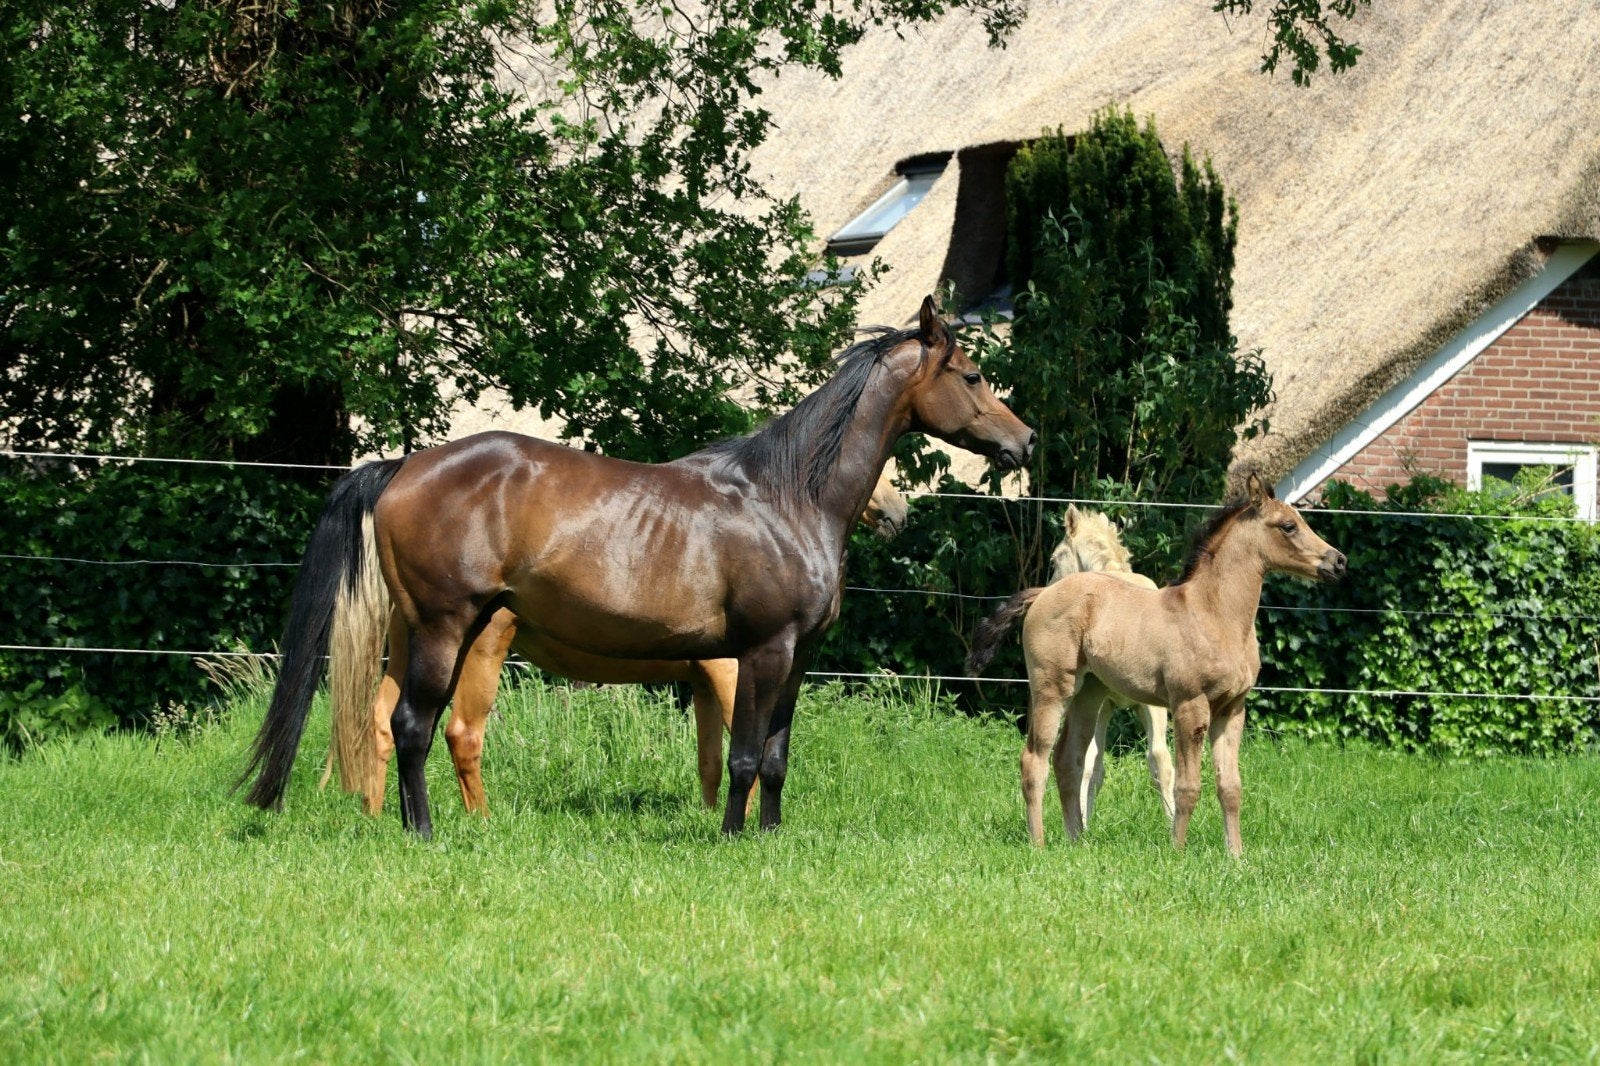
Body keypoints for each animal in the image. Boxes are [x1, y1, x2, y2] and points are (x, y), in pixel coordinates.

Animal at [318, 472, 911, 816]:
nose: (899, 512)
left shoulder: (701, 681)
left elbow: (709, 761)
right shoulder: (734, 670)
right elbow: (743, 746)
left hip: (412, 646)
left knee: (379, 723)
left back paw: (377, 815)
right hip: (472, 653)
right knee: (459, 733)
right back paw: (478, 821)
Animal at [1046, 504, 1175, 825]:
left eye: (1054, 559)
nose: (1050, 591)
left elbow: (1158, 761)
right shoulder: (1103, 703)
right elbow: (1093, 765)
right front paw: (1085, 823)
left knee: (1161, 760)